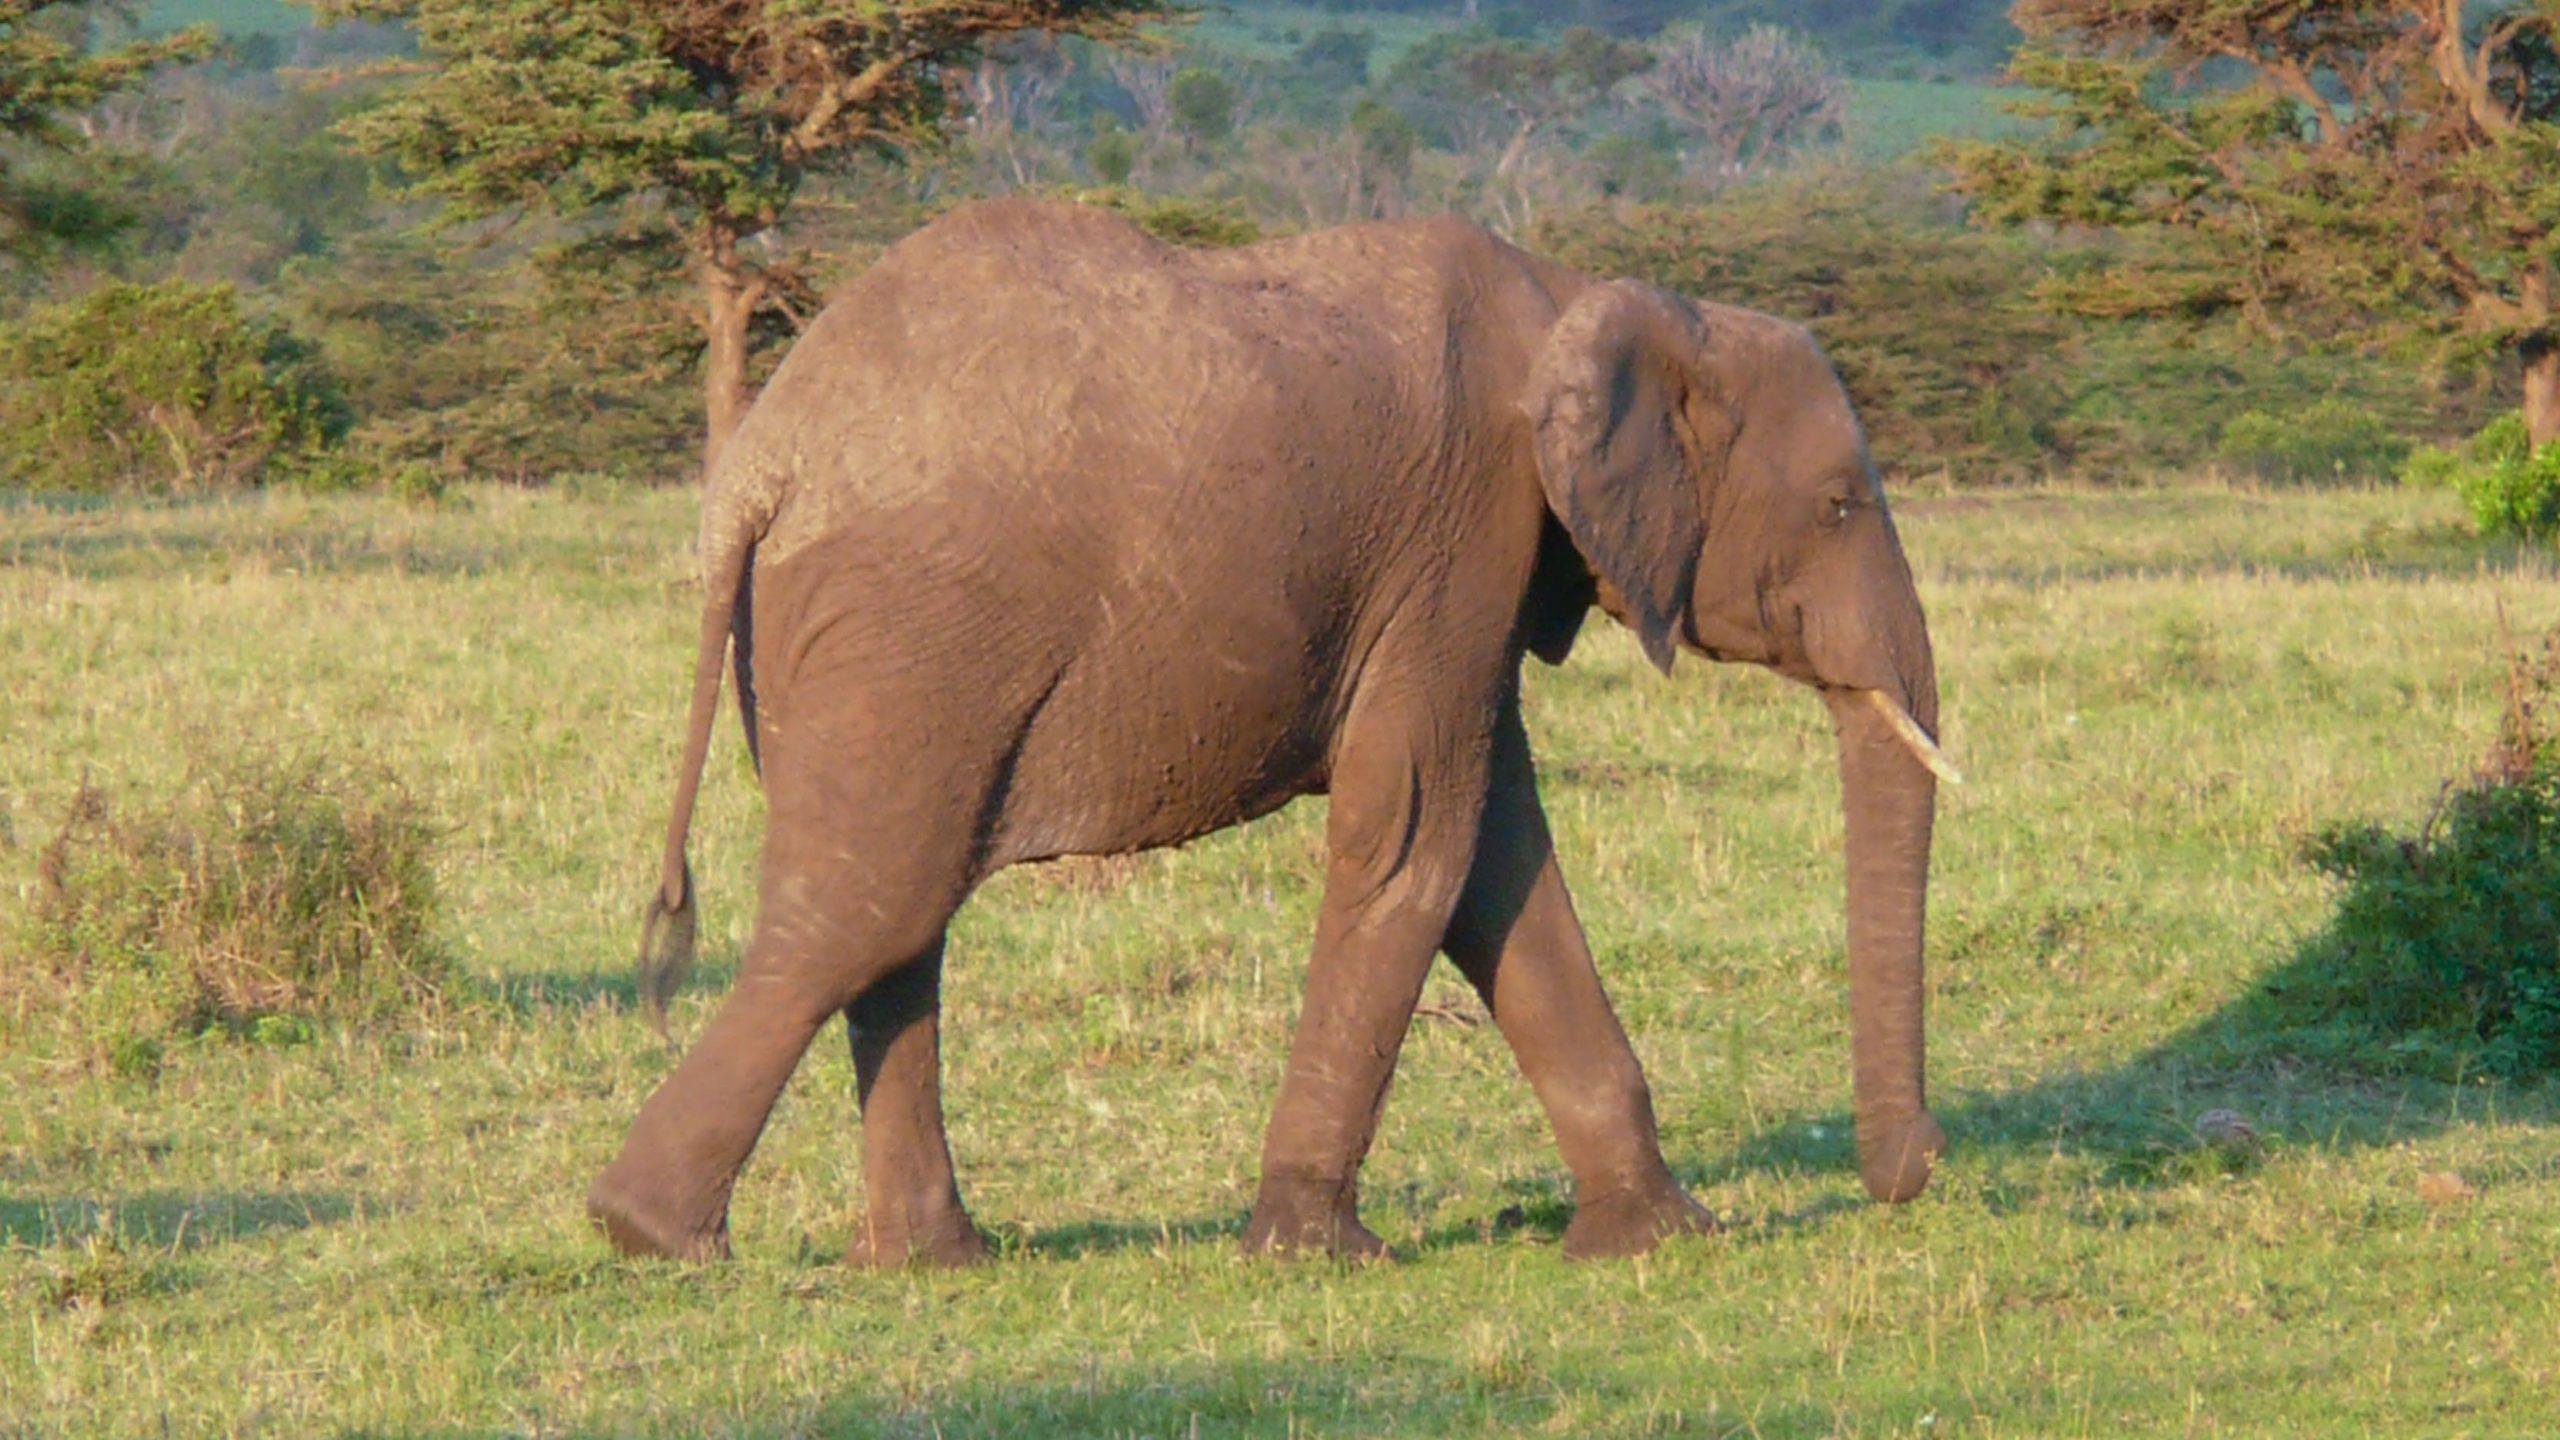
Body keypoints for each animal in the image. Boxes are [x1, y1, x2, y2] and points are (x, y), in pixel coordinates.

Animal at [588, 196, 1945, 1260]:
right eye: (1838, 504)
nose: (1906, 1176)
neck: (1594, 299)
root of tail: (763, 467)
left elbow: (1499, 867)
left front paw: (1661, 1239)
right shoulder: (1464, 533)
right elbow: (1417, 843)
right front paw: (1315, 1251)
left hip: (842, 648)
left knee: (898, 914)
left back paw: (929, 1261)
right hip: (913, 628)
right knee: (866, 908)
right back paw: (651, 1234)